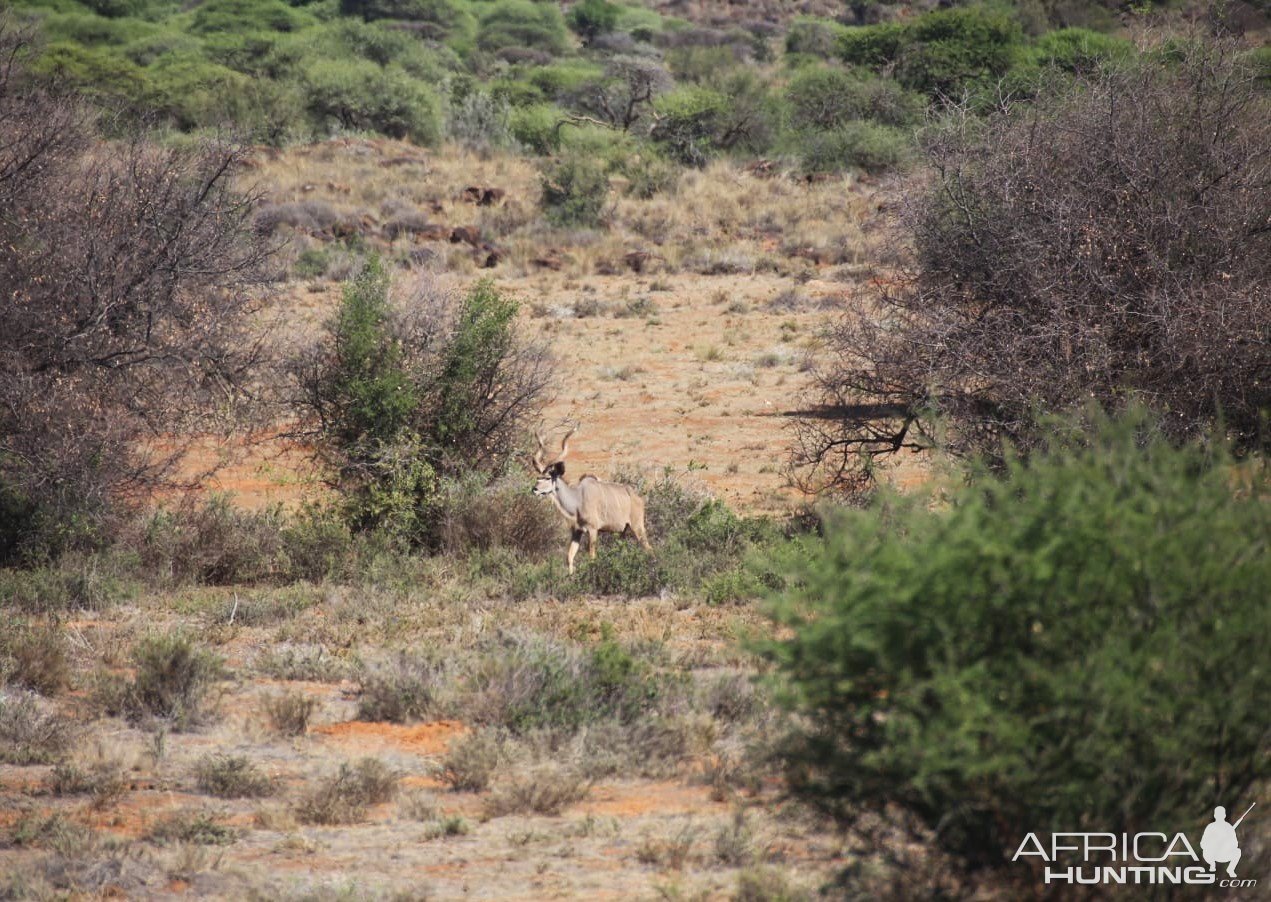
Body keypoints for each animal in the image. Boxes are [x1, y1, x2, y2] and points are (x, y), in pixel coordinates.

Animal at [533, 426, 655, 576]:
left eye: (547, 477)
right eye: (538, 477)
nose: (534, 489)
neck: (577, 500)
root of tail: (638, 498)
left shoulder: (593, 530)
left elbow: (592, 557)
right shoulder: (576, 531)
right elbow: (570, 557)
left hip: (637, 526)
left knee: (649, 550)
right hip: (623, 531)